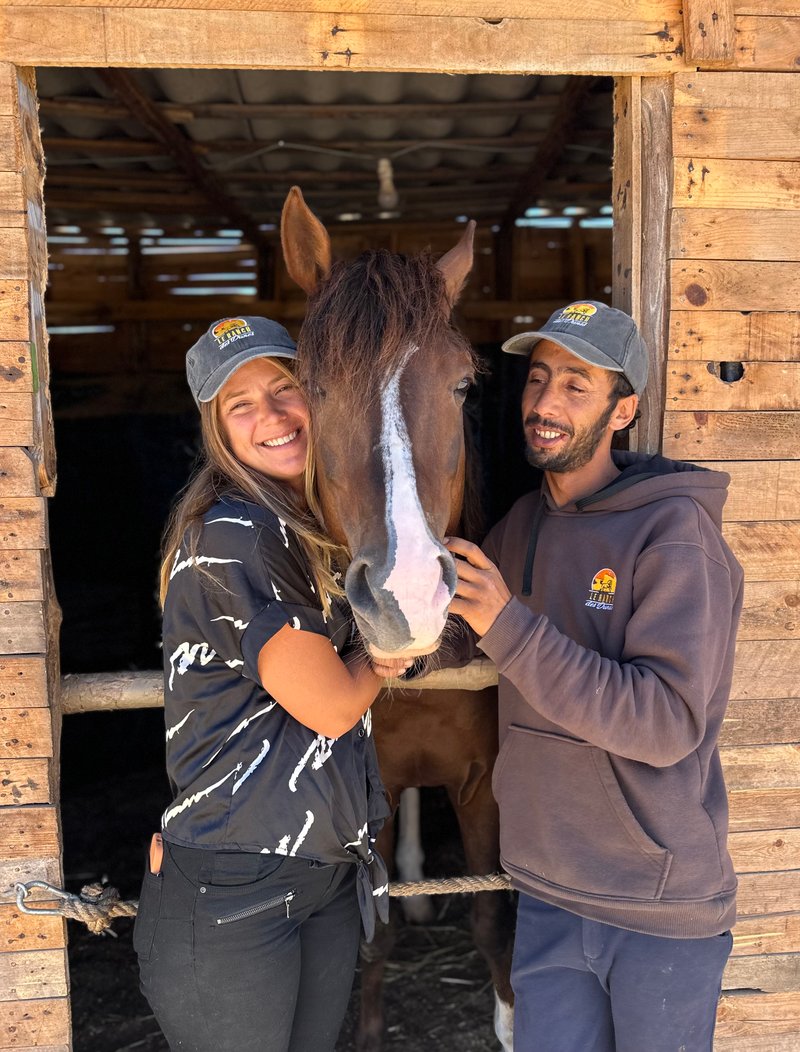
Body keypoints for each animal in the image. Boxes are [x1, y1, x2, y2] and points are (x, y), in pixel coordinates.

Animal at [280, 187, 514, 1052]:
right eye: (308, 387)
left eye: (463, 386)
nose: (406, 593)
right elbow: (373, 934)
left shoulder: (484, 783)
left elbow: (492, 912)